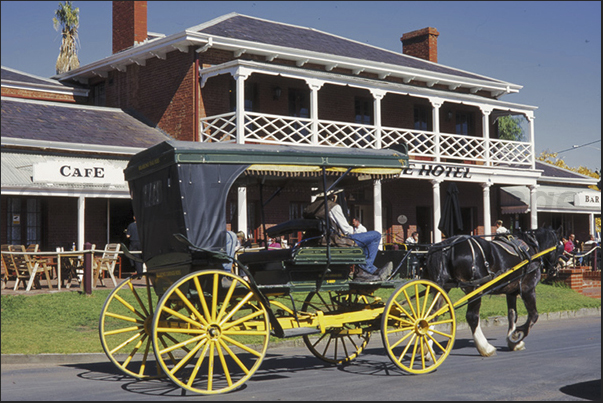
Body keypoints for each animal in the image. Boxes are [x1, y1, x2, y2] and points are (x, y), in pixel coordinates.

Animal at [424, 229, 560, 358]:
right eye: (560, 246)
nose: (555, 269)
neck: (532, 247)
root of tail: (448, 246)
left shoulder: (511, 292)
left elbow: (512, 315)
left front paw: (513, 342)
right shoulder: (528, 288)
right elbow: (533, 316)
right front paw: (517, 336)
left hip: (444, 287)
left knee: (431, 315)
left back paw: (428, 351)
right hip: (474, 288)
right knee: (472, 317)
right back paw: (485, 348)